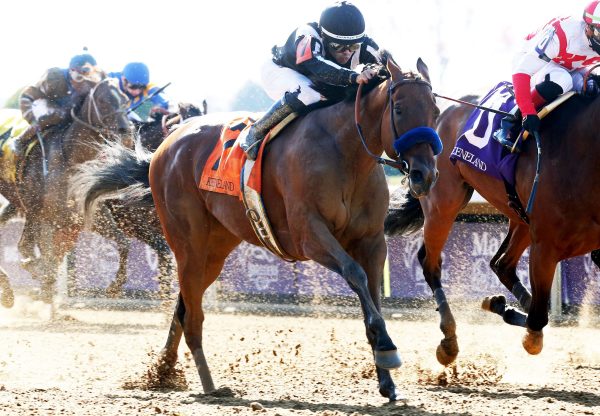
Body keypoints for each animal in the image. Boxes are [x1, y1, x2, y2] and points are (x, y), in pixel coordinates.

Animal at [74, 52, 440, 400]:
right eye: (399, 109)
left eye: (435, 110)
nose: (425, 175)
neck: (346, 154)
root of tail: (166, 145)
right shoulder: (310, 236)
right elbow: (356, 275)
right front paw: (388, 350)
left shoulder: (372, 241)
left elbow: (373, 294)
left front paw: (387, 380)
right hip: (187, 239)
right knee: (192, 314)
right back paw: (208, 385)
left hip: (215, 247)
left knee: (184, 304)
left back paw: (164, 372)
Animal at [384, 85, 600, 364]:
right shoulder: (545, 247)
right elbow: (536, 329)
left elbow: (537, 318)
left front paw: (502, 305)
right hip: (443, 203)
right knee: (430, 262)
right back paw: (450, 339)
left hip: (519, 216)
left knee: (502, 264)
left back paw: (501, 305)